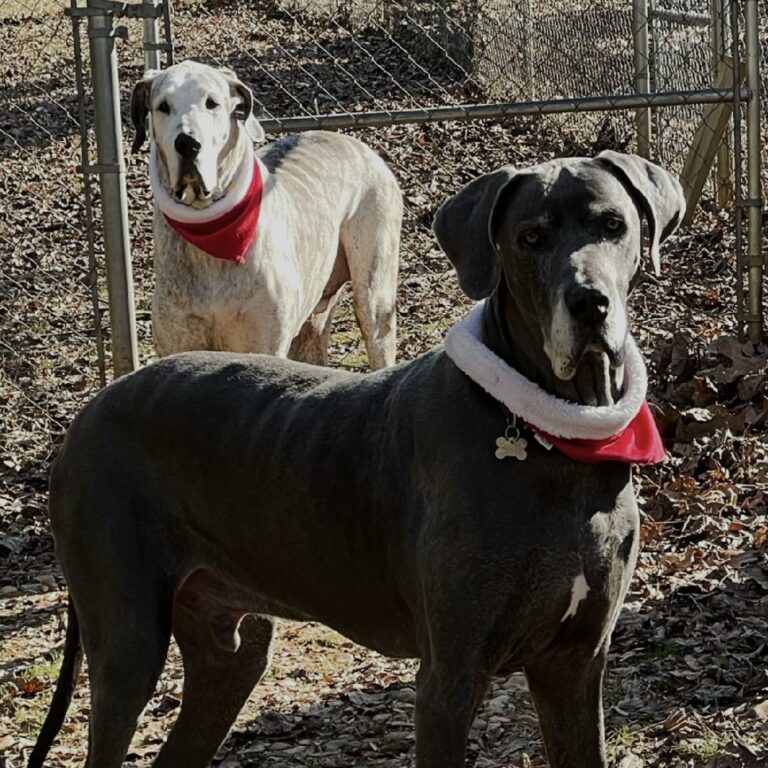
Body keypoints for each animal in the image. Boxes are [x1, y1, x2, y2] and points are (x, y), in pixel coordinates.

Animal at [131, 61, 402, 368]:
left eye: (212, 103)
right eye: (163, 106)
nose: (188, 144)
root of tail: (358, 145)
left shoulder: (263, 346)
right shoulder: (177, 346)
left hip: (374, 296)